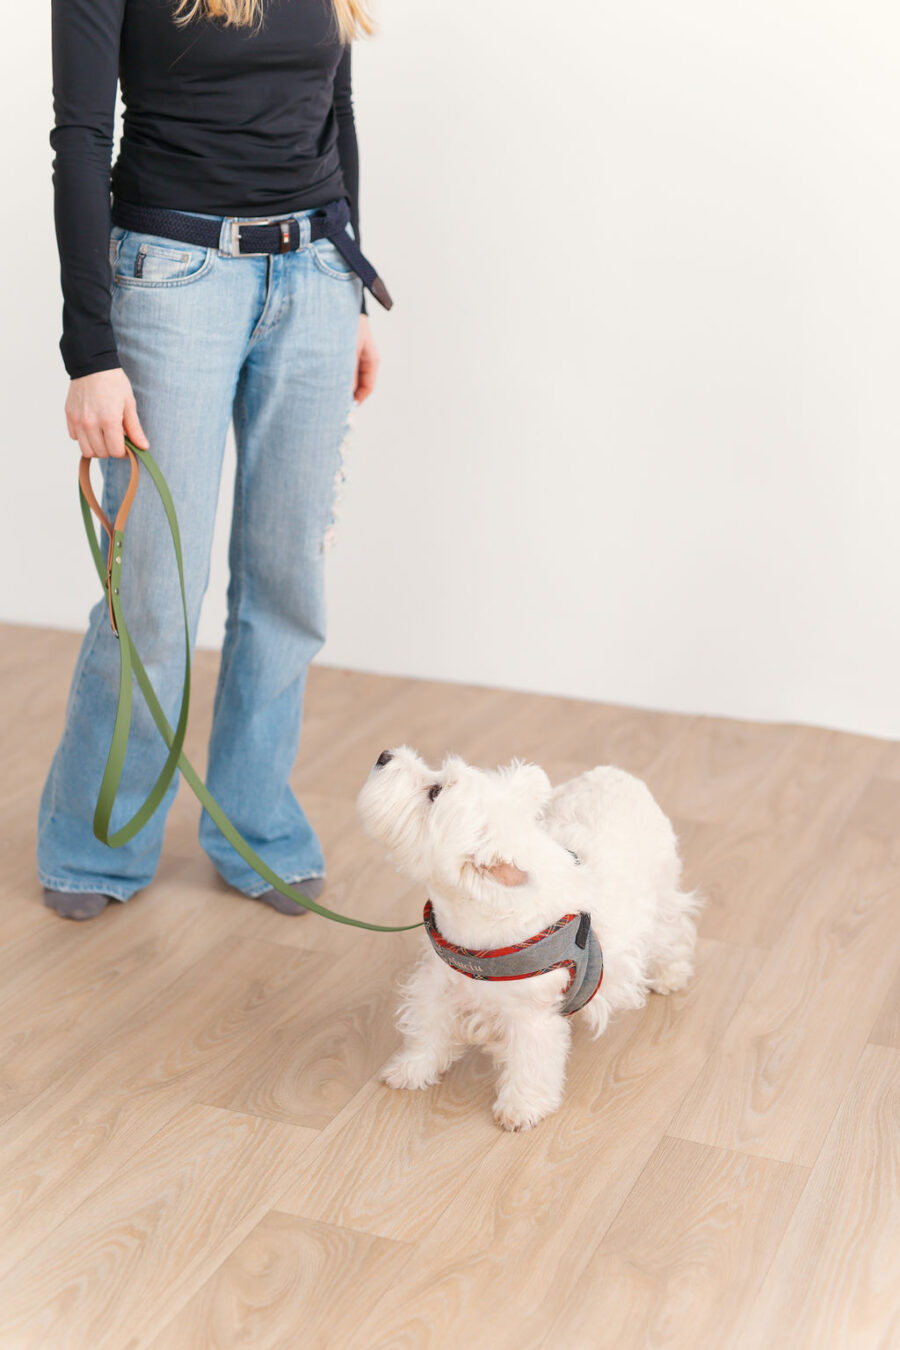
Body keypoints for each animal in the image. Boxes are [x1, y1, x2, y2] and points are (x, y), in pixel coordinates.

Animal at [353, 745, 701, 1134]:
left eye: (435, 792)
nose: (385, 754)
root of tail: (617, 773)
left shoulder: (531, 1014)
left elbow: (531, 1061)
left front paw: (520, 1109)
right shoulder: (436, 983)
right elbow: (427, 1028)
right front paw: (410, 1070)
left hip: (660, 893)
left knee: (673, 931)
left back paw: (670, 975)